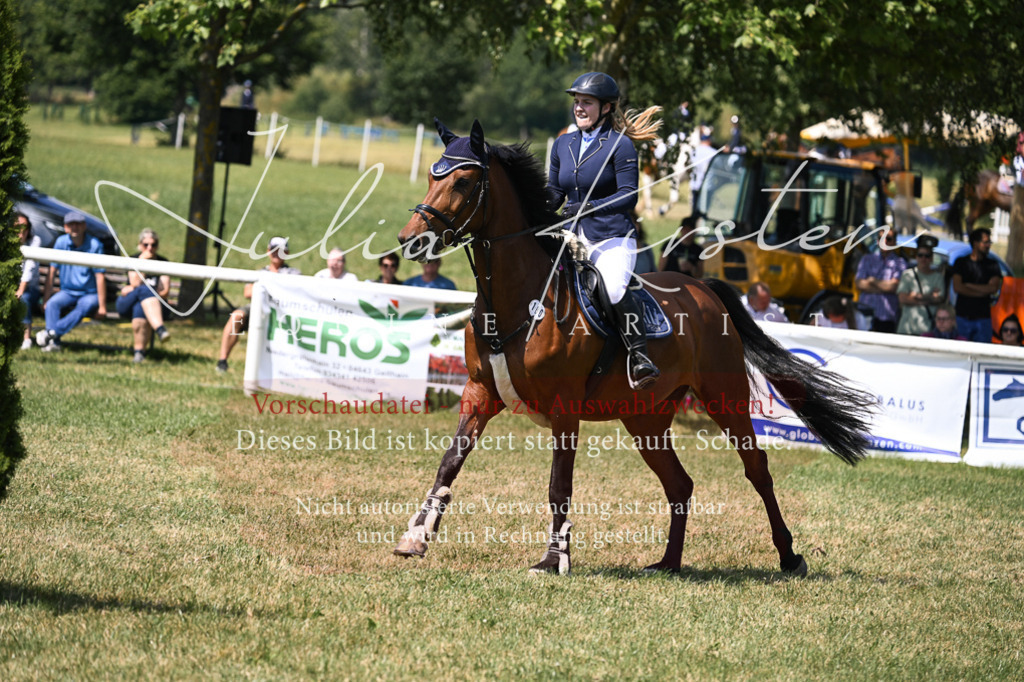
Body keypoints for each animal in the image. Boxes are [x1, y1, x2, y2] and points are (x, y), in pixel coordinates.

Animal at [393, 118, 876, 576]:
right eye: (433, 174)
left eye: (463, 181)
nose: (410, 239)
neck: (518, 301)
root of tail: (704, 290)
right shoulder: (480, 393)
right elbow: (449, 462)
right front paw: (415, 536)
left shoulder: (564, 408)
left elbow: (558, 485)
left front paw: (554, 559)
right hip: (645, 418)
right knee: (680, 484)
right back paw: (669, 563)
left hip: (726, 398)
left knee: (756, 468)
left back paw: (789, 556)